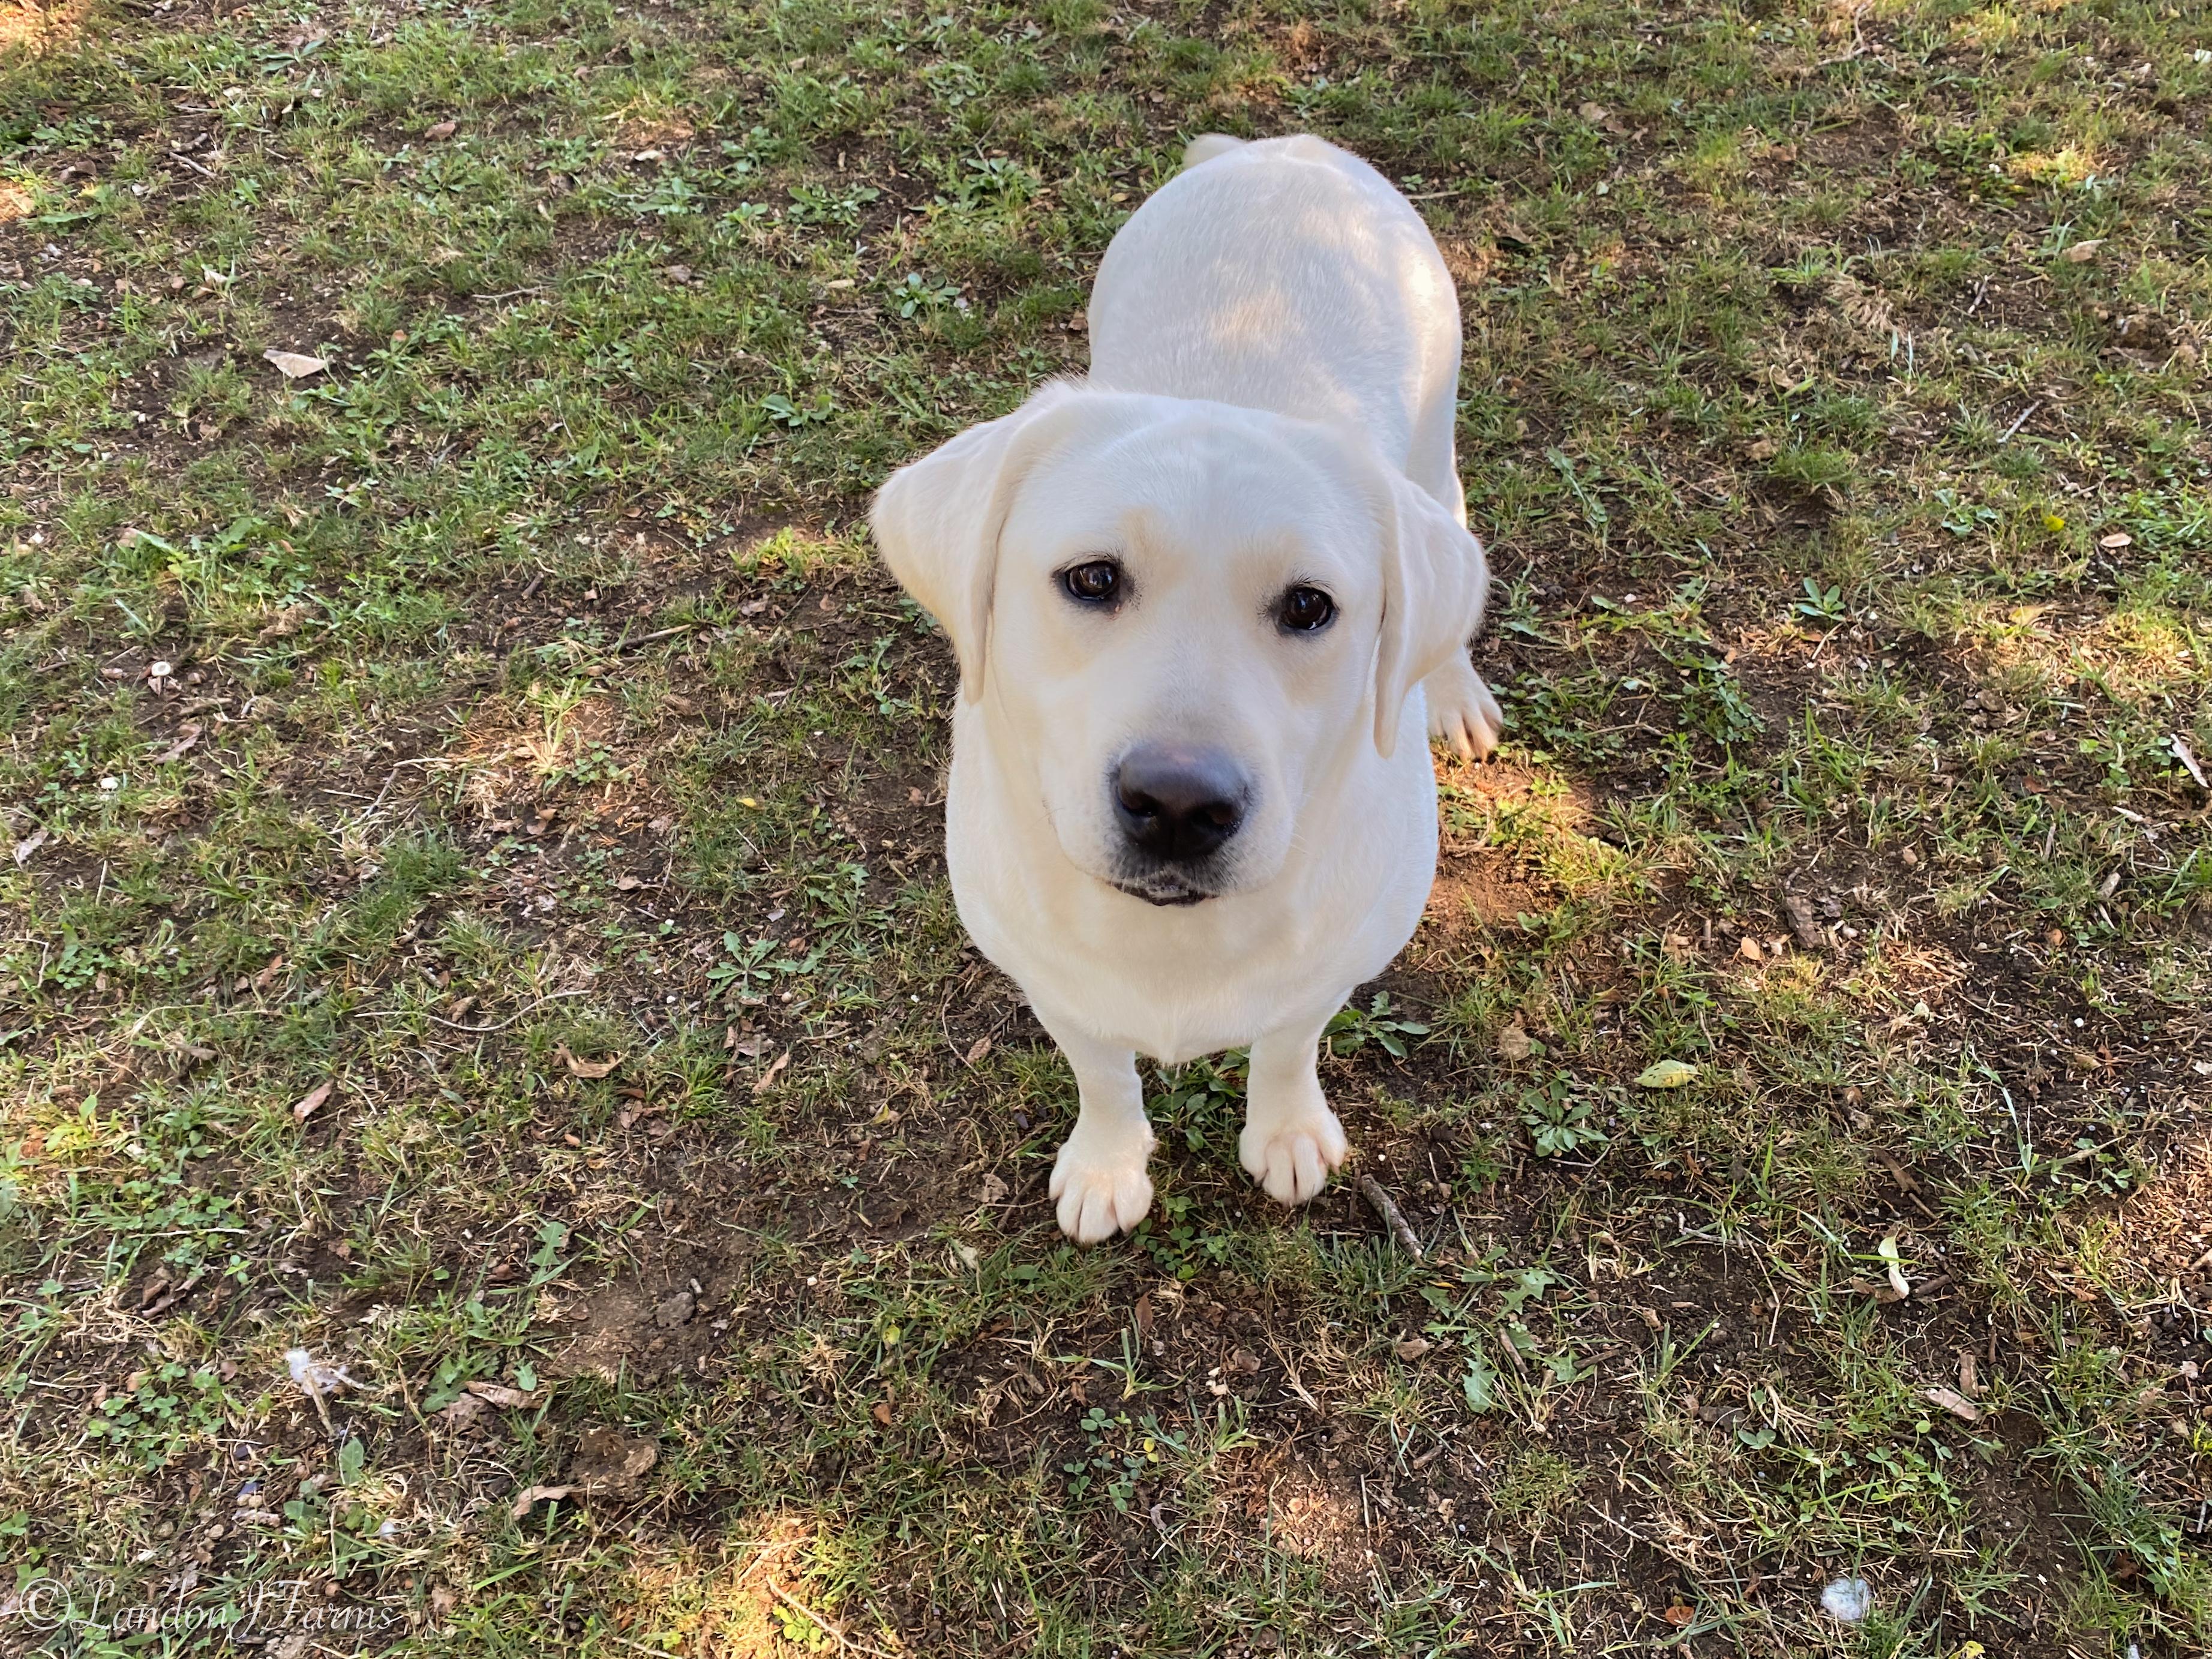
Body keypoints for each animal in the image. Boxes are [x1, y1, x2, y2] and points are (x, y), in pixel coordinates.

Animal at [871, 133, 1499, 1243]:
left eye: (1309, 607)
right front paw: (1107, 1163)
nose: (1175, 804)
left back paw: (1453, 691)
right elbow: (1101, 1073)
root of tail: (1289, 146)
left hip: (1437, 439)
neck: (1173, 940)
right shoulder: (1052, 983)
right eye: (1090, 579)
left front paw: (1285, 1133)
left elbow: (1288, 1044)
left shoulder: (1330, 969)